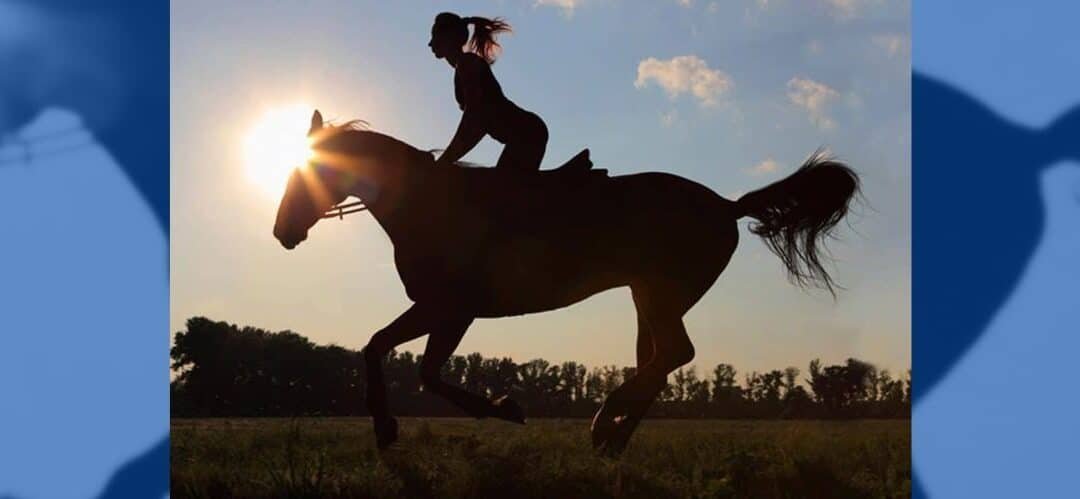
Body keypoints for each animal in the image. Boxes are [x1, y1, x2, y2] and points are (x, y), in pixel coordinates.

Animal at [273, 109, 860, 454]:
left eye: (313, 171)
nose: (282, 232)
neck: (425, 204)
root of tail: (726, 205)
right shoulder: (442, 309)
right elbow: (382, 350)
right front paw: (387, 425)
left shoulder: (453, 309)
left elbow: (420, 369)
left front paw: (502, 409)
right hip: (647, 296)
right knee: (660, 358)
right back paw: (615, 433)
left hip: (661, 294)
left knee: (672, 354)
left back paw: (604, 423)